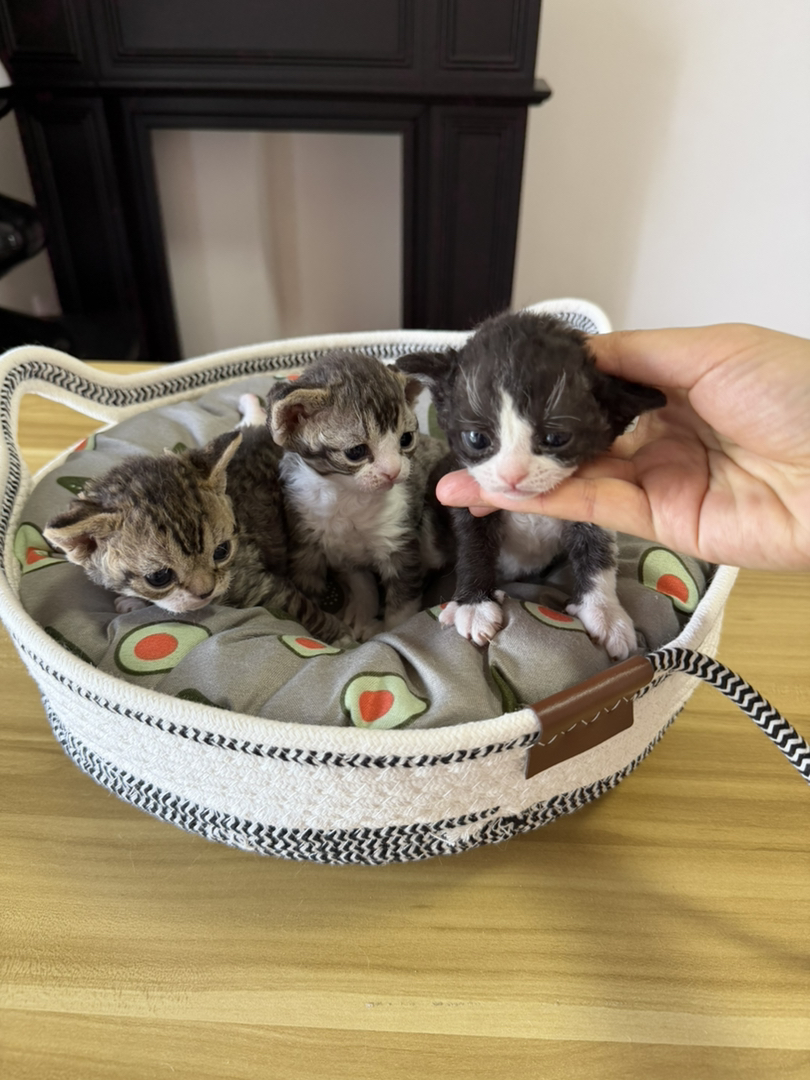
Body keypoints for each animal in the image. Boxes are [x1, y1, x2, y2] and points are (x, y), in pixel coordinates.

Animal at [44, 426, 355, 645]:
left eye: (222, 551)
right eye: (159, 577)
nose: (205, 591)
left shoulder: (258, 583)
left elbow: (301, 608)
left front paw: (339, 635)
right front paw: (134, 600)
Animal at [257, 351, 454, 640]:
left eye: (406, 439)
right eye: (356, 452)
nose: (393, 471)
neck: (347, 496)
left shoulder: (399, 539)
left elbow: (403, 601)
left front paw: (392, 631)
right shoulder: (326, 541)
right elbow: (359, 581)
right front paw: (361, 612)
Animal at [395, 310, 667, 659]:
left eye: (555, 438)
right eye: (477, 438)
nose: (512, 474)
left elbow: (598, 549)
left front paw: (604, 612)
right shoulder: (466, 493)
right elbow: (472, 541)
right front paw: (474, 604)